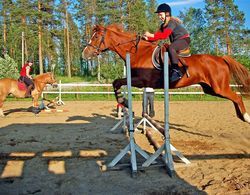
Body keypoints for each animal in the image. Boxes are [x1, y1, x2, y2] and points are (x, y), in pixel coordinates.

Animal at [82, 23, 250, 122]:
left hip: (219, 87)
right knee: (235, 97)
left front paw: (123, 101)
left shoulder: (141, 81)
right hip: (210, 89)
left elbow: (117, 82)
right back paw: (240, 116)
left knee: (237, 97)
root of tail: (221, 59)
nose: (84, 53)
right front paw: (123, 102)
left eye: (96, 37)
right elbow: (115, 82)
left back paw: (246, 117)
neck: (138, 52)